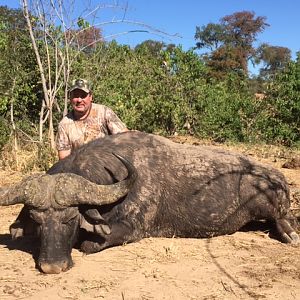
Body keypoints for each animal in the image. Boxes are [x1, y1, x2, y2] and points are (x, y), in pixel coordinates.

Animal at [0, 131, 298, 274]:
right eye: (37, 221)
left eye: (71, 218)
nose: (52, 266)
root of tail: (278, 178)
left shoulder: (130, 229)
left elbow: (88, 244)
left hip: (270, 206)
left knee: (282, 218)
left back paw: (289, 234)